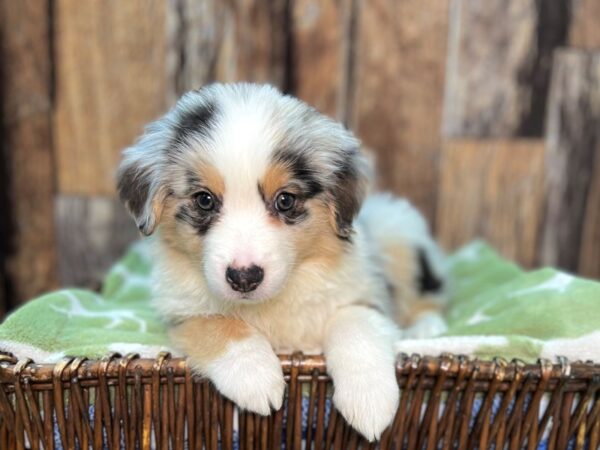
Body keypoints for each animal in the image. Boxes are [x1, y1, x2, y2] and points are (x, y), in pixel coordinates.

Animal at [117, 82, 448, 442]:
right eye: (204, 200)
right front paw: (256, 378)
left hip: (400, 233)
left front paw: (370, 401)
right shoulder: (178, 312)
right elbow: (217, 324)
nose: (244, 277)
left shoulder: (365, 292)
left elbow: (355, 322)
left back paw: (428, 328)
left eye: (285, 200)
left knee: (432, 290)